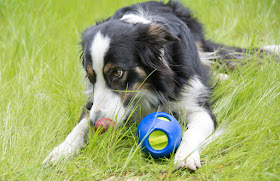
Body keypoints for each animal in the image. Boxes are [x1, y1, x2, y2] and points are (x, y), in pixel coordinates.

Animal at [42, 0, 278, 170]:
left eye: (117, 73)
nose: (97, 124)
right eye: (90, 76)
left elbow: (194, 130)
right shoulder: (92, 102)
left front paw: (186, 156)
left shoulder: (199, 107)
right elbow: (79, 125)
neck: (149, 87)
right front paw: (61, 150)